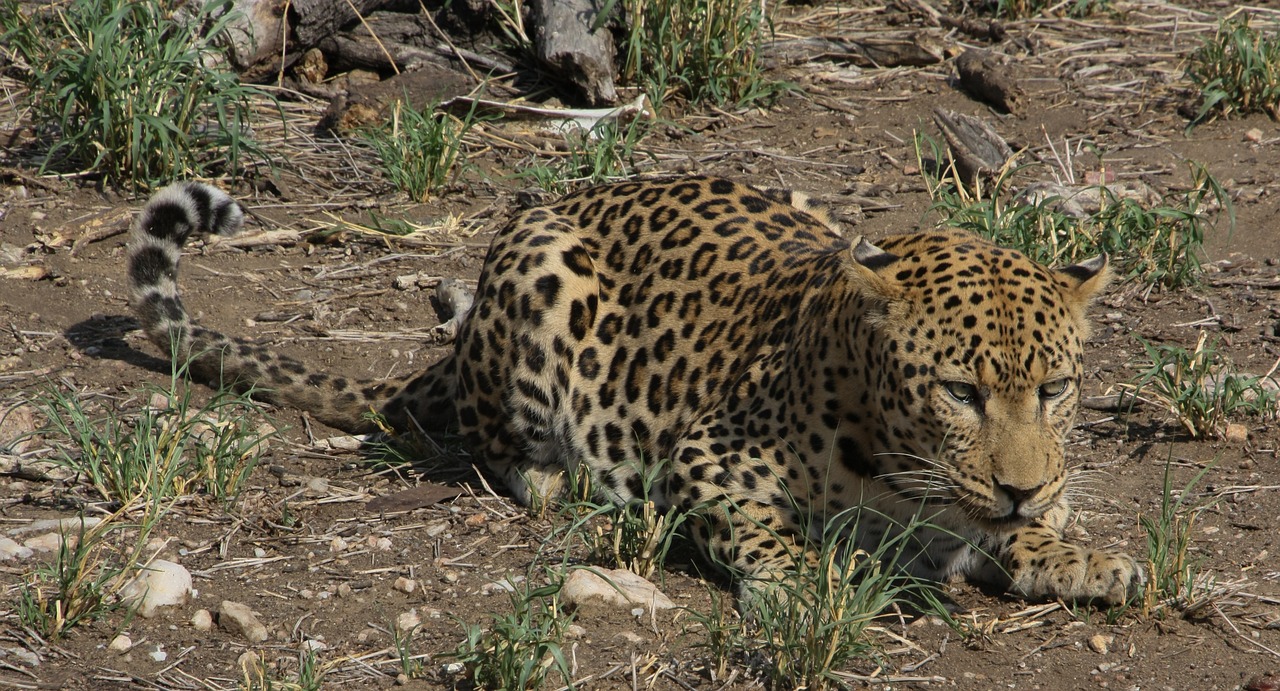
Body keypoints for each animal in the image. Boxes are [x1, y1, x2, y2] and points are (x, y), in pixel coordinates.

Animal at [127, 176, 1141, 603]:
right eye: (959, 391)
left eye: (1055, 388)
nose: (1021, 484)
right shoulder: (711, 460)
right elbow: (765, 532)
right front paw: (799, 583)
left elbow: (1027, 530)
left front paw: (1083, 555)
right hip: (543, 276)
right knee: (500, 449)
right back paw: (566, 484)